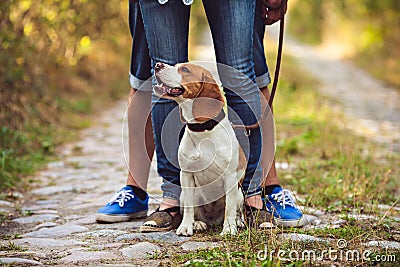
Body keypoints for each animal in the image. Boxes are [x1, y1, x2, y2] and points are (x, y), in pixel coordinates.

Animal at [154, 62, 245, 237]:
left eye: (185, 70)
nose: (157, 65)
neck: (202, 131)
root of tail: (213, 221)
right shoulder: (186, 175)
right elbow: (189, 208)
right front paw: (186, 226)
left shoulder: (230, 176)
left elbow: (229, 208)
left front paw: (229, 229)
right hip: (184, 195)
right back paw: (198, 223)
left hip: (240, 194)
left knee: (235, 210)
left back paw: (237, 222)